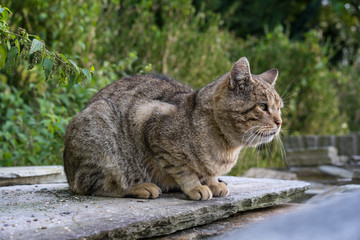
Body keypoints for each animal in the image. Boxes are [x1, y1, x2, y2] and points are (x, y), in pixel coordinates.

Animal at [64, 57, 284, 200]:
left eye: (279, 108)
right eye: (263, 106)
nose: (279, 122)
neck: (226, 147)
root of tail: (68, 174)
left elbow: (209, 173)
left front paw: (213, 182)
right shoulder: (152, 127)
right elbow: (183, 169)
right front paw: (196, 187)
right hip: (102, 131)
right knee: (95, 185)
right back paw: (140, 187)